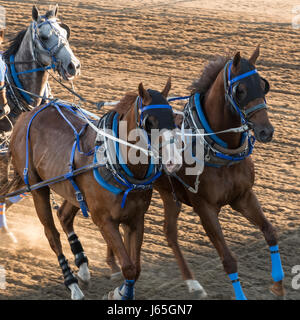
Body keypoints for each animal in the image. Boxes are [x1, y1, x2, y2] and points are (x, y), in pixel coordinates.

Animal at [8, 79, 183, 298]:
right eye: (149, 121)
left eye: (173, 118)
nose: (173, 161)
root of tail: (25, 116)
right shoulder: (103, 220)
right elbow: (128, 267)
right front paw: (119, 293)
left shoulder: (136, 219)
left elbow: (136, 268)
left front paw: (122, 291)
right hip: (37, 188)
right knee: (52, 235)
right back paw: (72, 285)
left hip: (72, 191)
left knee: (64, 216)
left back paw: (82, 267)